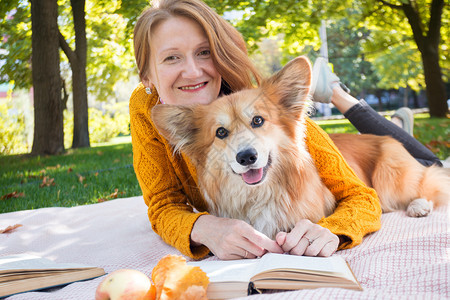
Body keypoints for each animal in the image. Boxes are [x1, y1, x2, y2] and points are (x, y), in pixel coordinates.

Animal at [152, 55, 450, 239]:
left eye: (258, 120)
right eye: (220, 132)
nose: (247, 157)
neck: (262, 194)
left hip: (390, 180)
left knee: (427, 183)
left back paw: (418, 205)